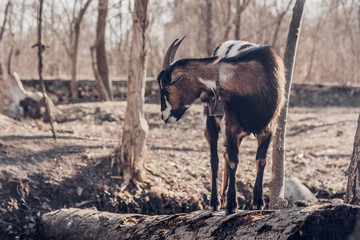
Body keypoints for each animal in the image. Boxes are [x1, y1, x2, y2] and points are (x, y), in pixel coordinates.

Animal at [156, 37, 286, 214]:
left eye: (166, 87)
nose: (164, 116)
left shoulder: (268, 129)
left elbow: (261, 161)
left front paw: (258, 202)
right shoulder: (231, 127)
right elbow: (233, 162)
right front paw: (231, 203)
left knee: (225, 156)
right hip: (210, 123)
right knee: (215, 159)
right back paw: (216, 201)